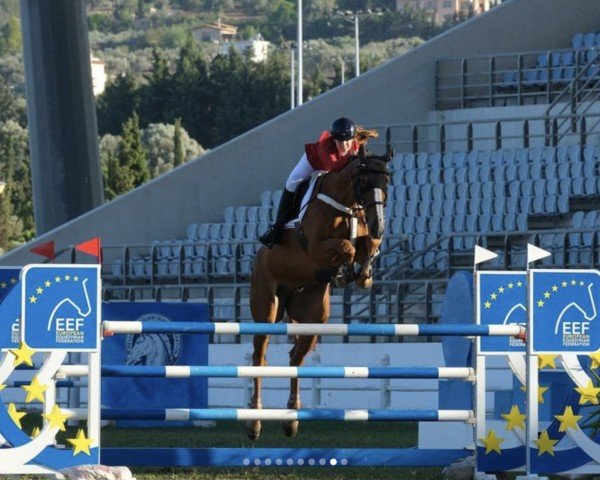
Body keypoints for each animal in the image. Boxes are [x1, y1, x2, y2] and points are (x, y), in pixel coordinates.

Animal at [246, 143, 392, 438]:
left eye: (387, 181)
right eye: (363, 181)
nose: (379, 224)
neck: (345, 205)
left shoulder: (363, 235)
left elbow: (368, 245)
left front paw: (363, 276)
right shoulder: (315, 249)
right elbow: (346, 248)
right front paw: (346, 272)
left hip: (313, 317)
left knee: (295, 359)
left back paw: (291, 419)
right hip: (266, 308)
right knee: (259, 357)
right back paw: (254, 422)